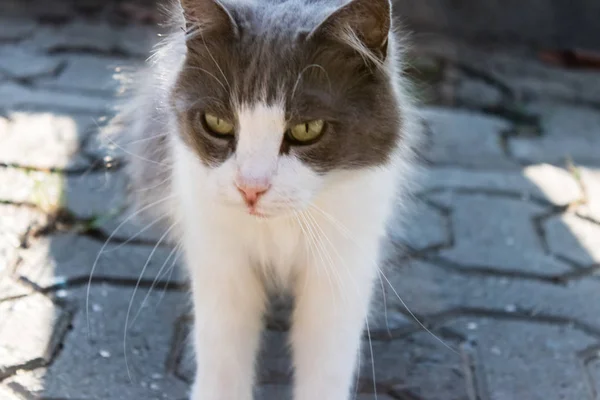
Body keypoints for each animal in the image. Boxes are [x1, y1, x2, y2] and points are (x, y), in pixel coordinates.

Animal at [106, 0, 418, 398]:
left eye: (307, 129)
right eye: (217, 123)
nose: (250, 187)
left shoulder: (341, 263)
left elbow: (327, 359)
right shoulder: (221, 259)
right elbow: (222, 351)